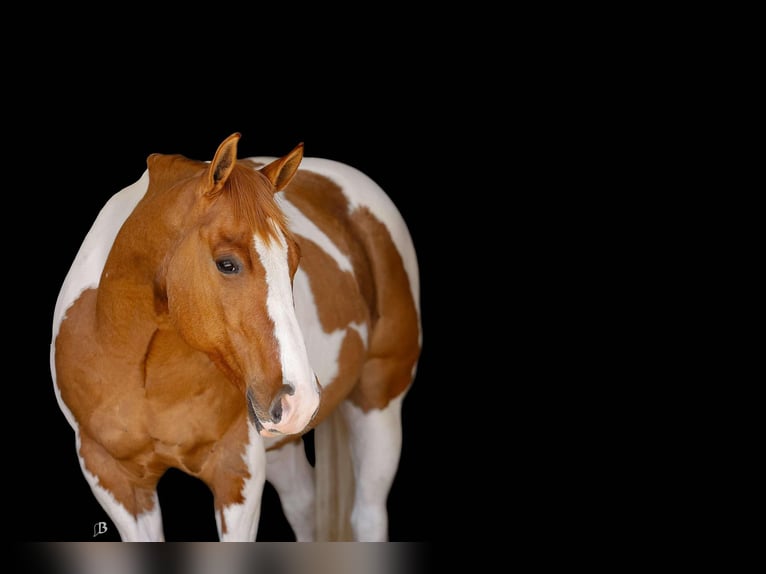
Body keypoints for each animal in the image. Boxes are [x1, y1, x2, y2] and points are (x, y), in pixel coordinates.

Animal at [51, 133, 424, 544]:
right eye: (226, 263)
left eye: (294, 259)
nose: (301, 400)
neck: (146, 373)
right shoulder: (114, 479)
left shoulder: (237, 471)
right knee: (305, 506)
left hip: (378, 403)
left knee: (368, 515)